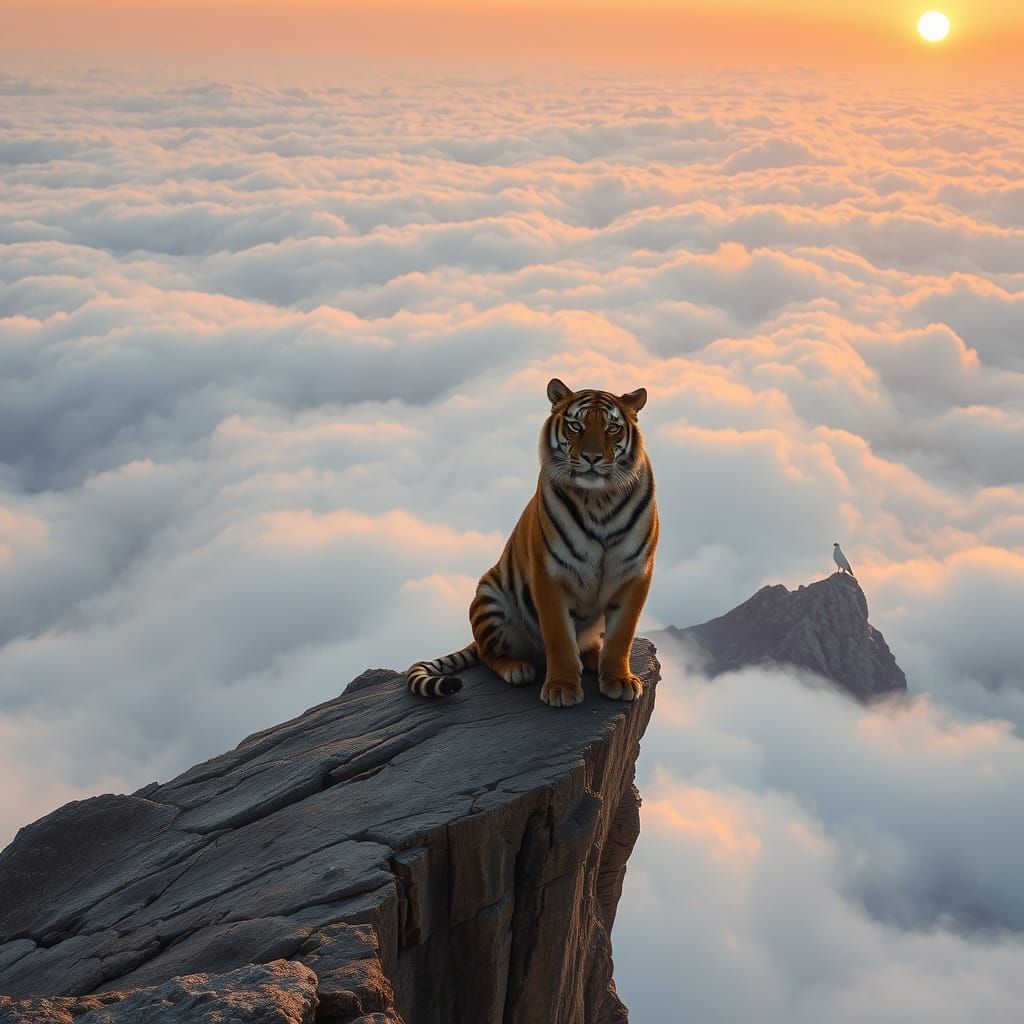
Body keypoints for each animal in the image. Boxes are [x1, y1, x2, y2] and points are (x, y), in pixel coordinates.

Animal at [406, 377, 658, 708]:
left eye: (612, 428)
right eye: (575, 426)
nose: (592, 458)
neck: (599, 499)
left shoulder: (636, 573)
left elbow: (621, 636)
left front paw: (619, 680)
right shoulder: (549, 572)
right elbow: (559, 635)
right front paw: (562, 687)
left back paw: (593, 658)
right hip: (489, 597)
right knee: (489, 654)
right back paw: (517, 668)